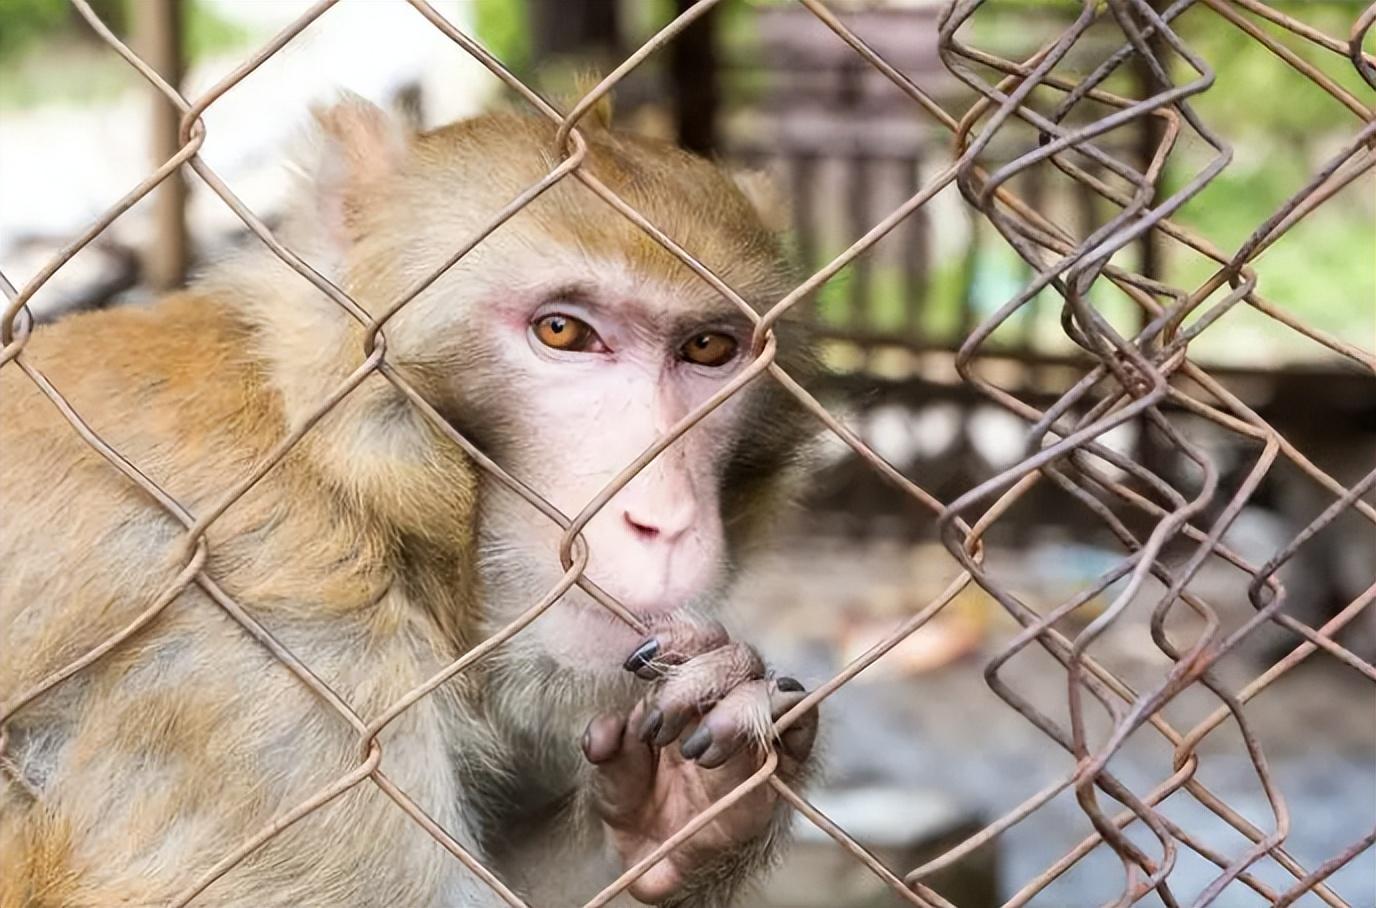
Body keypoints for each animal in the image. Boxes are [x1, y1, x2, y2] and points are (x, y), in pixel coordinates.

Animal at [0, 94, 814, 908]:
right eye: (563, 331)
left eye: (707, 349)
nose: (664, 520)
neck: (349, 479)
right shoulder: (272, 659)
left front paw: (685, 808)